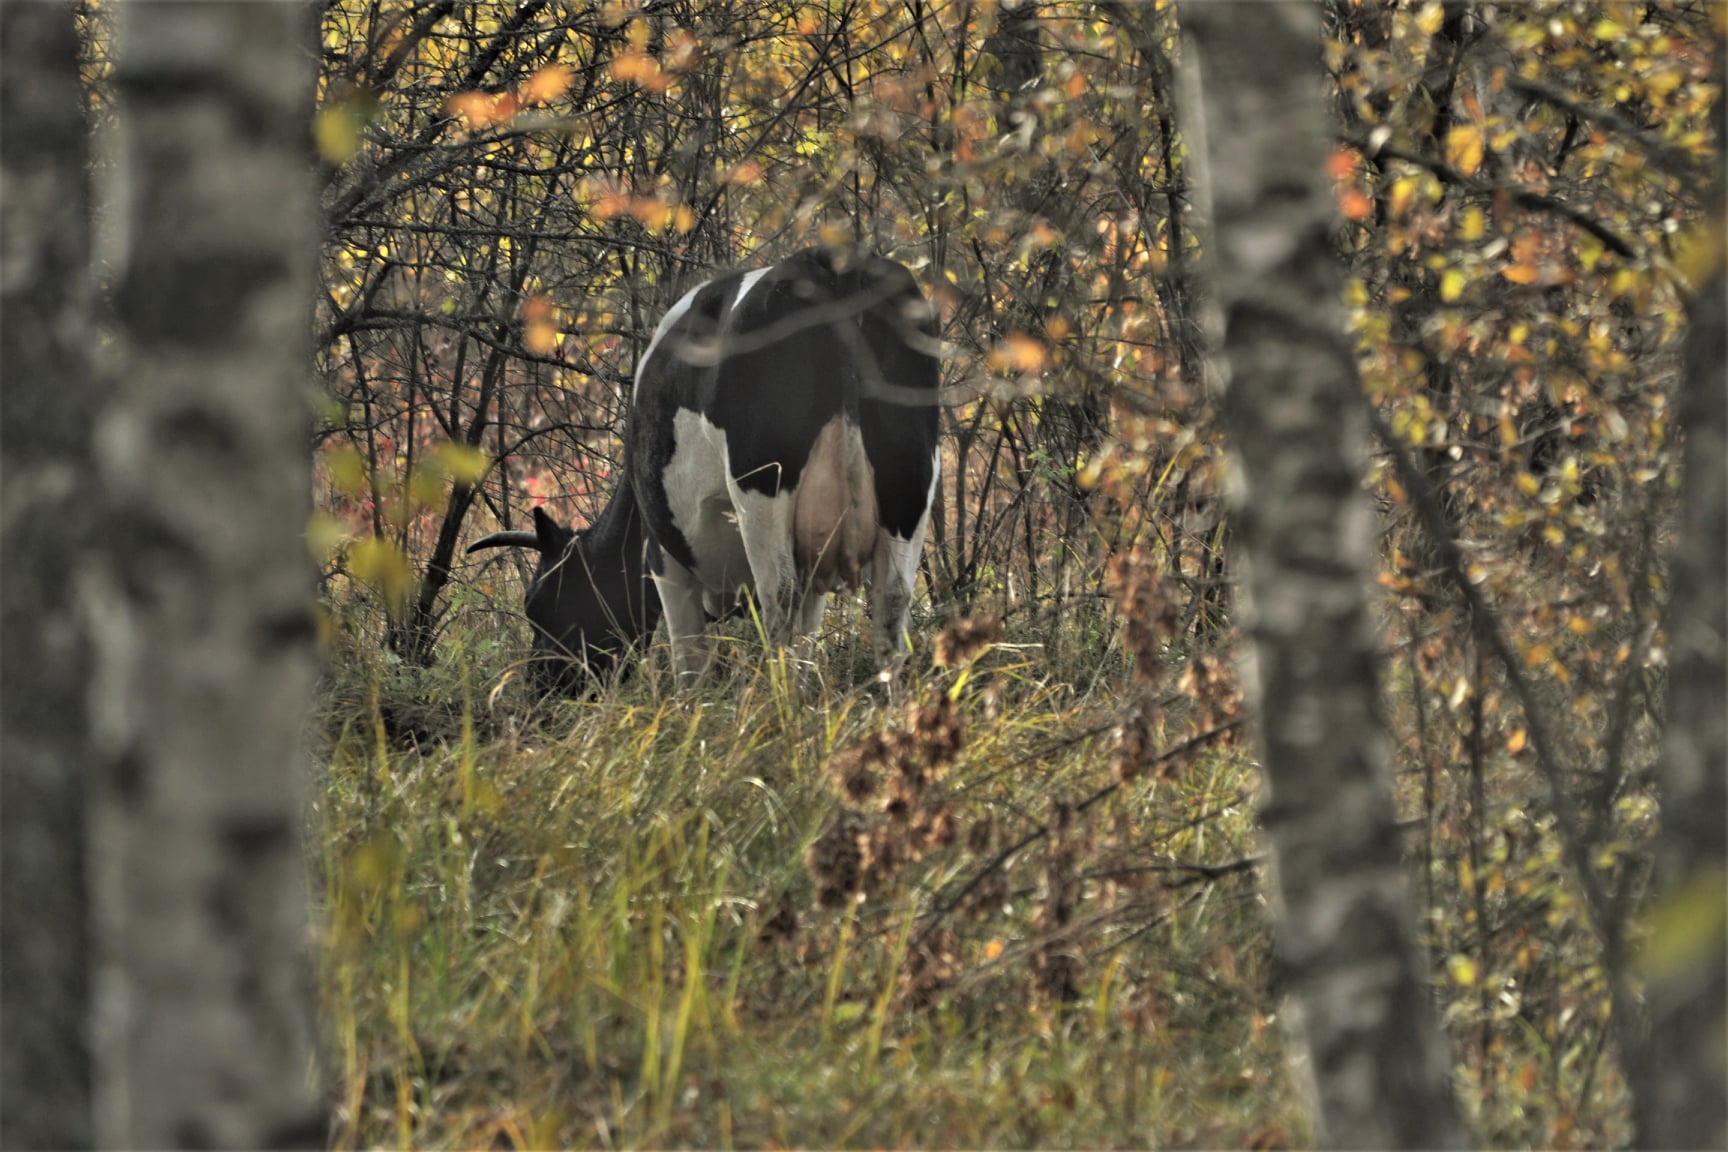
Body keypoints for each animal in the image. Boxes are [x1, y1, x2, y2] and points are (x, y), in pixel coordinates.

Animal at [466, 246, 940, 690]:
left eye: (539, 603)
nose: (540, 686)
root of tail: (827, 261)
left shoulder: (663, 557)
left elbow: (690, 664)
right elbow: (807, 644)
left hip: (762, 485)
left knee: (780, 600)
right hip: (909, 480)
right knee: (892, 605)